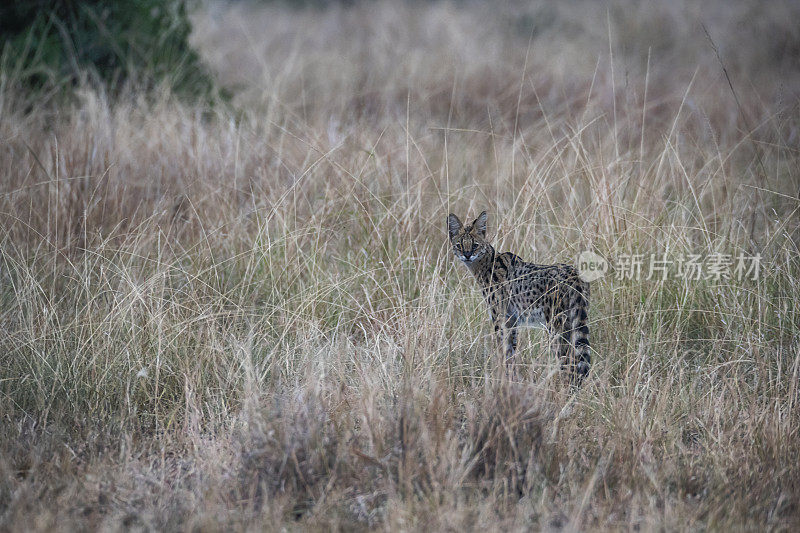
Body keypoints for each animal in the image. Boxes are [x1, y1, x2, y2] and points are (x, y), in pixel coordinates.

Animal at [446, 210, 592, 384]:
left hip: (556, 326)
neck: (484, 263)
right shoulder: (512, 321)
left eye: (475, 245)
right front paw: (512, 381)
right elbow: (511, 356)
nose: (467, 255)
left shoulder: (501, 320)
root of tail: (574, 274)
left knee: (569, 364)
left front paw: (503, 382)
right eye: (459, 245)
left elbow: (504, 352)